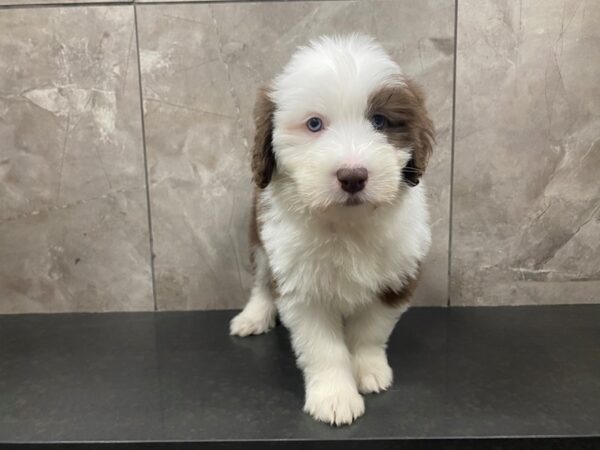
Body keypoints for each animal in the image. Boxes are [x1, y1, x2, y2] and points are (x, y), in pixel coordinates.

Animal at [232, 35, 434, 426]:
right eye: (314, 124)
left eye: (379, 121)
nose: (352, 176)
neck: (346, 224)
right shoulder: (300, 287)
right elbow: (323, 349)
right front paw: (335, 398)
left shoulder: (397, 275)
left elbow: (370, 331)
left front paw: (369, 371)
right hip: (261, 238)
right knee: (262, 281)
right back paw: (253, 317)